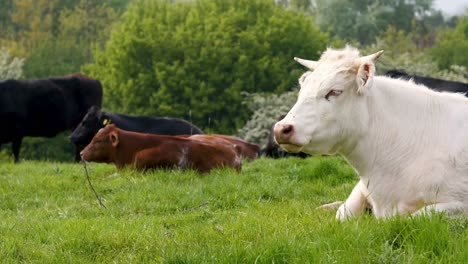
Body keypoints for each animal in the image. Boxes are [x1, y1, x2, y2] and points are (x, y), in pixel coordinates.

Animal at [272, 46, 468, 221]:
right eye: (302, 91)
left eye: (335, 91)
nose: (281, 129)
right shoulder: (363, 187)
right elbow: (343, 213)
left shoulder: (459, 206)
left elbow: (418, 217)